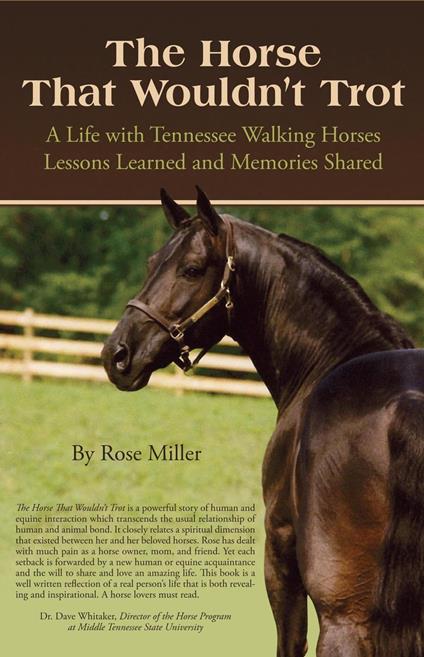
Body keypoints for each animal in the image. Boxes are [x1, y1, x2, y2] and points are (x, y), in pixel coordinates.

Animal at [102, 188, 424, 657]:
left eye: (192, 269)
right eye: (150, 263)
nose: (117, 355)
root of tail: (405, 401)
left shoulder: (279, 549)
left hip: (344, 616)